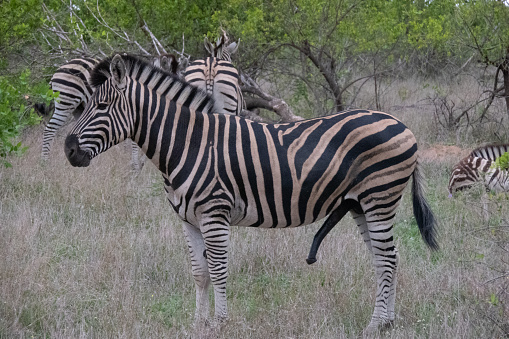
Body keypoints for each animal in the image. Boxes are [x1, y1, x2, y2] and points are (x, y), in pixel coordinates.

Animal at [38, 55, 177, 173]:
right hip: (66, 101)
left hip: (78, 108)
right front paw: (136, 166)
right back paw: (44, 163)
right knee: (50, 129)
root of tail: (59, 69)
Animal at [63, 54, 436, 336]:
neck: (188, 144)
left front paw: (220, 323)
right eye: (86, 105)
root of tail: (400, 123)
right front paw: (198, 323)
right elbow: (199, 272)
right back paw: (386, 322)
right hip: (361, 203)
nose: (68, 150)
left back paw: (375, 325)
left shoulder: (214, 214)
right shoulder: (188, 220)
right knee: (386, 257)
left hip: (379, 197)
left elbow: (218, 269)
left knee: (386, 258)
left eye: (102, 105)